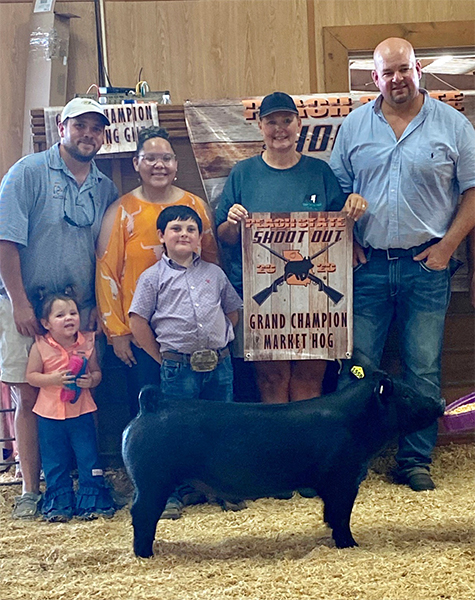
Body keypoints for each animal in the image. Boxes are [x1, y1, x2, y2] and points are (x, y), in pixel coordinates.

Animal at [122, 372, 444, 558]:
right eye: (406, 395)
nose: (440, 402)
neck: (358, 425)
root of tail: (149, 405)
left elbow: (330, 514)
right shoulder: (343, 478)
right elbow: (341, 514)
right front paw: (350, 544)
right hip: (152, 478)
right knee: (141, 513)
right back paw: (145, 554)